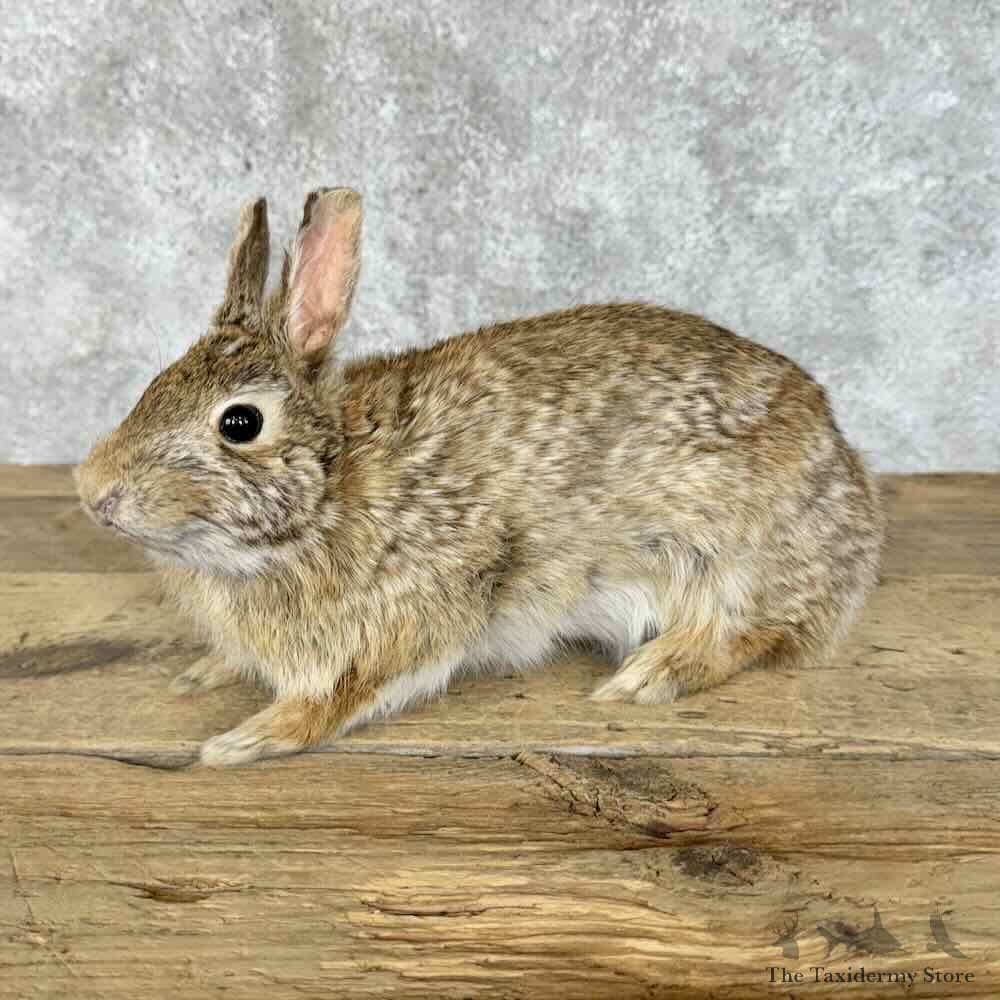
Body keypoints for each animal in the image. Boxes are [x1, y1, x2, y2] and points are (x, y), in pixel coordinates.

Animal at [76, 187, 885, 766]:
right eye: (154, 384)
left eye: (239, 423)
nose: (93, 493)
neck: (329, 496)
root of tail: (846, 474)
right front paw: (205, 673)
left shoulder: (423, 604)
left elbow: (346, 693)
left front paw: (246, 739)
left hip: (733, 556)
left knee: (747, 632)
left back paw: (648, 674)